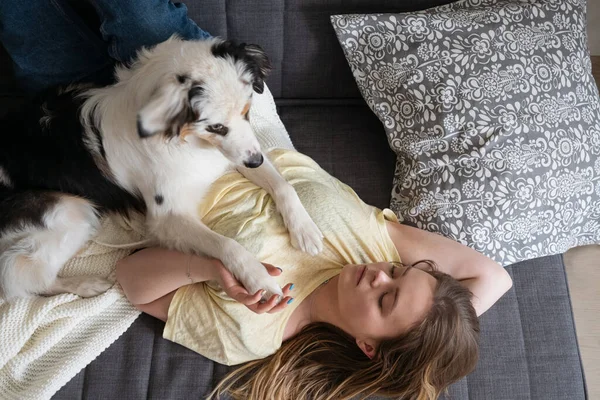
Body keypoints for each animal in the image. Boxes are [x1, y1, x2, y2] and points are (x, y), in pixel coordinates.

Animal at [0, 36, 324, 300]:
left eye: (247, 110)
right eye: (216, 126)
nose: (255, 161)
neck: (185, 141)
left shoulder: (235, 152)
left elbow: (283, 185)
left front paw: (305, 229)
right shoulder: (167, 216)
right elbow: (226, 245)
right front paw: (257, 277)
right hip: (70, 210)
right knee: (20, 276)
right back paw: (85, 284)